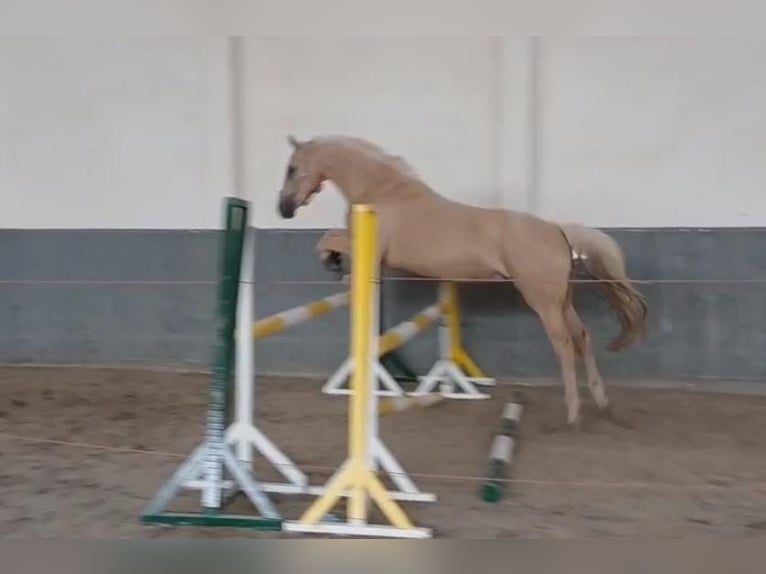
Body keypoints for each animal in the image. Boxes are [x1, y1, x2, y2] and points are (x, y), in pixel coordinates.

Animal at [276, 134, 647, 427]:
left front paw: (334, 263)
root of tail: (557, 230)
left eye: (292, 168)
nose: (284, 209)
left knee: (565, 345)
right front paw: (336, 264)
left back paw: (572, 414)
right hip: (562, 300)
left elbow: (327, 237)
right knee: (583, 337)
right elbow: (329, 238)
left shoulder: (369, 247)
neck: (381, 191)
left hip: (542, 301)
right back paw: (602, 403)